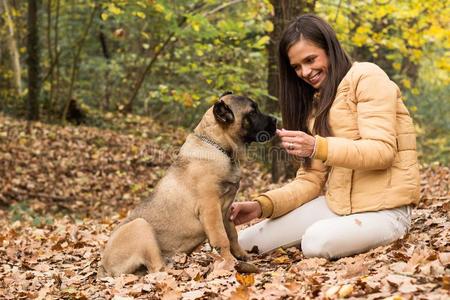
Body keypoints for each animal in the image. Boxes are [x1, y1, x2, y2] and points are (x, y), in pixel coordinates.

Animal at [99, 93, 276, 276]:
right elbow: (221, 238)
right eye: (252, 112)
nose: (275, 120)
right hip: (140, 226)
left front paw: (241, 255)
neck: (217, 146)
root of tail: (104, 267)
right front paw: (229, 262)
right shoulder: (211, 208)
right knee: (157, 268)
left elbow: (232, 234)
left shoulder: (226, 210)